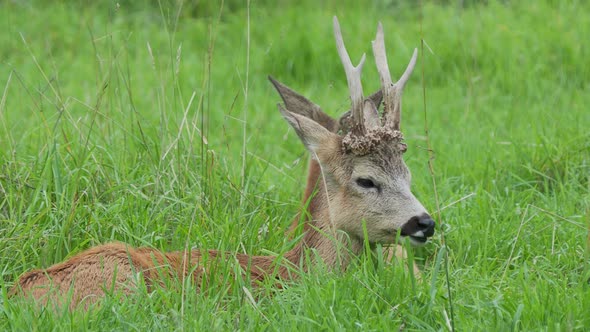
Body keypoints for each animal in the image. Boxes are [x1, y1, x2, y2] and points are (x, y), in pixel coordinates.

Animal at [8, 17, 434, 308]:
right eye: (366, 180)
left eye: (407, 173)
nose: (424, 222)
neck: (289, 272)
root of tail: (18, 293)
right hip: (121, 280)